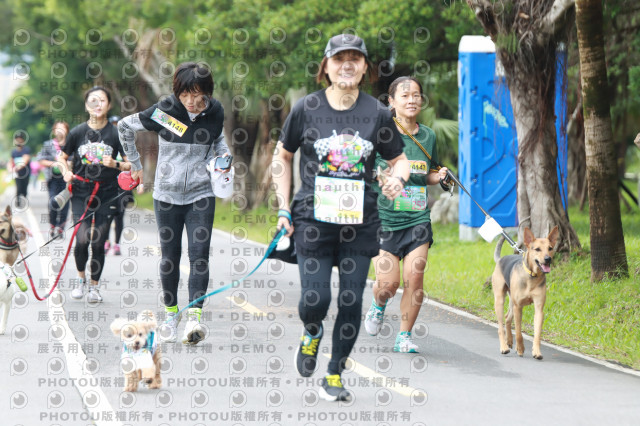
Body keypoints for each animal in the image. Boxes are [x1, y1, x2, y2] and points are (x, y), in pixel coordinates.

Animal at [492, 226, 556, 360]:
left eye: (550, 248)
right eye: (537, 249)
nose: (548, 259)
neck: (532, 276)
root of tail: (500, 259)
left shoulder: (539, 308)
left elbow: (537, 333)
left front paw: (536, 351)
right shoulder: (518, 307)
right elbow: (518, 332)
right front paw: (520, 349)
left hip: (511, 300)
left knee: (507, 318)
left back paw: (509, 341)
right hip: (500, 300)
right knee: (501, 325)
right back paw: (504, 347)